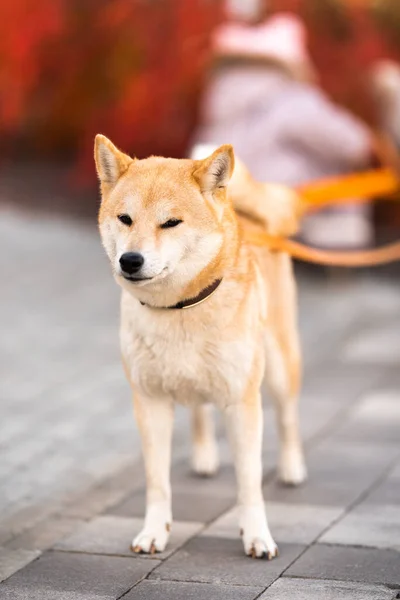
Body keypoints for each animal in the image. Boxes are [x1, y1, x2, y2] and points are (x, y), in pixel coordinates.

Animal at [94, 135, 306, 556]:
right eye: (125, 219)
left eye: (170, 222)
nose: (130, 260)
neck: (180, 308)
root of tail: (251, 217)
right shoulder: (149, 401)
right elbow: (157, 481)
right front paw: (154, 532)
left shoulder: (242, 401)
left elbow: (249, 482)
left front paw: (257, 536)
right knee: (199, 408)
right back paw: (205, 456)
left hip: (278, 365)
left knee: (288, 416)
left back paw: (292, 468)